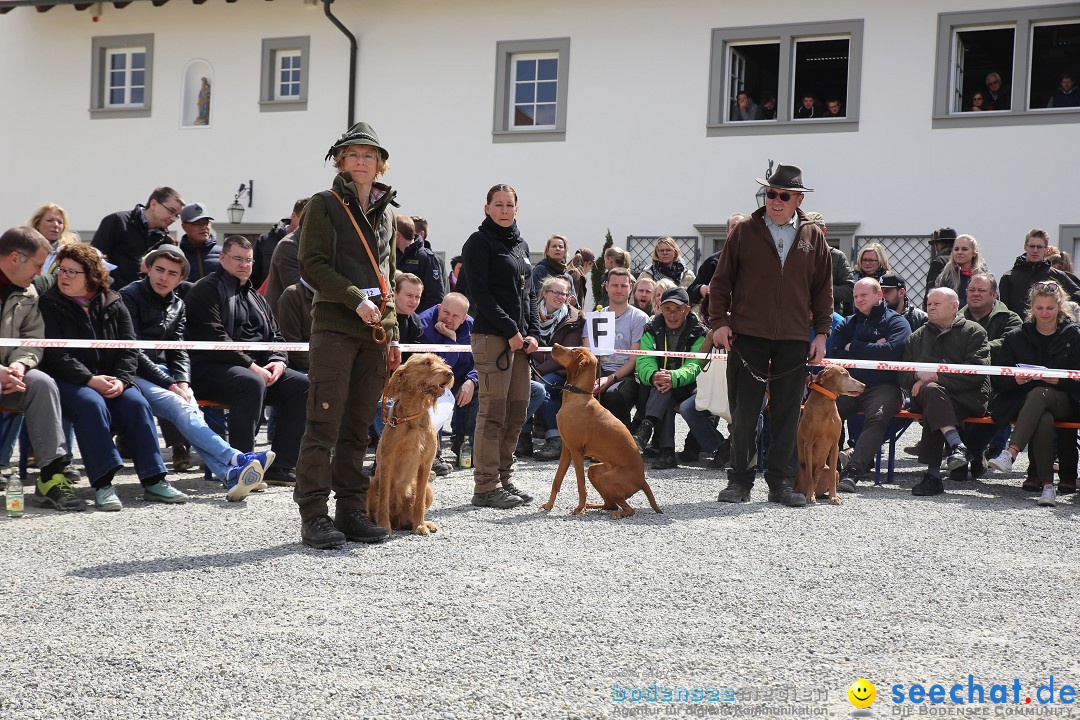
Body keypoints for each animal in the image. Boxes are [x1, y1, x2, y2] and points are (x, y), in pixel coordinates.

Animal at [369, 354, 453, 535]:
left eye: (442, 361)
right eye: (427, 362)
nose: (450, 373)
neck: (412, 418)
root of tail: (398, 520)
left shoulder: (426, 464)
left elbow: (419, 502)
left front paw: (420, 525)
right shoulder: (387, 462)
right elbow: (383, 500)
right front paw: (384, 527)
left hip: (429, 488)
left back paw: (418, 523)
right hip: (371, 484)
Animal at [544, 343, 660, 518]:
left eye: (572, 351)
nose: (555, 345)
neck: (577, 396)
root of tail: (642, 480)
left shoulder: (576, 451)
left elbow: (581, 485)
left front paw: (579, 508)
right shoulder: (567, 449)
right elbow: (557, 480)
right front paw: (549, 505)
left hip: (607, 479)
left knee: (628, 509)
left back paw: (614, 513)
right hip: (595, 471)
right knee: (610, 504)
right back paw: (592, 506)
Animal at [799, 362, 864, 505]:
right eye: (845, 375)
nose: (864, 385)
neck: (826, 404)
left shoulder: (834, 444)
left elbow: (832, 477)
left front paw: (833, 497)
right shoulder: (808, 444)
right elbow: (809, 476)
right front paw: (809, 496)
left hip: (830, 470)